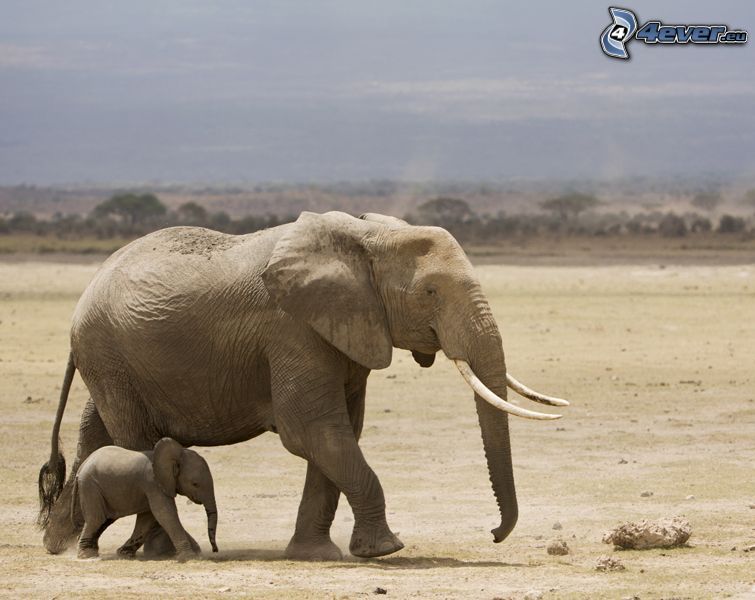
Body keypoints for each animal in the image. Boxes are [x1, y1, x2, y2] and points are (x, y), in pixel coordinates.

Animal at [74, 436, 219, 564]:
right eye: (195, 484)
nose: (215, 550)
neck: (177, 454)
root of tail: (82, 465)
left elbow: (148, 518)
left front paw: (124, 554)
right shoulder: (153, 483)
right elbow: (164, 513)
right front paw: (190, 557)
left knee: (105, 520)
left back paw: (91, 551)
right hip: (90, 486)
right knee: (96, 518)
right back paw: (87, 555)